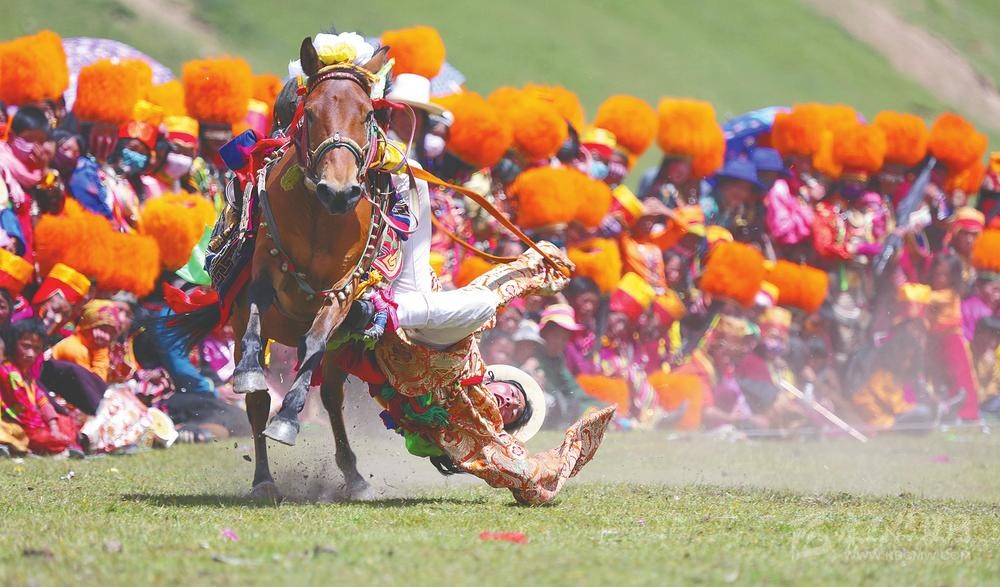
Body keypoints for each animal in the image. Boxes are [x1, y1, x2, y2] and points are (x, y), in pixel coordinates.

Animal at [170, 38, 390, 500]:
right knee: (257, 403)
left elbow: (314, 345)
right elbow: (255, 325)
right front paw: (252, 376)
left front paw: (289, 420)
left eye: (368, 114)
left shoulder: (343, 292)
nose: (339, 191)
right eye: (312, 112)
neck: (322, 217)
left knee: (331, 395)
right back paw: (264, 480)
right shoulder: (262, 276)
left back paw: (353, 474)